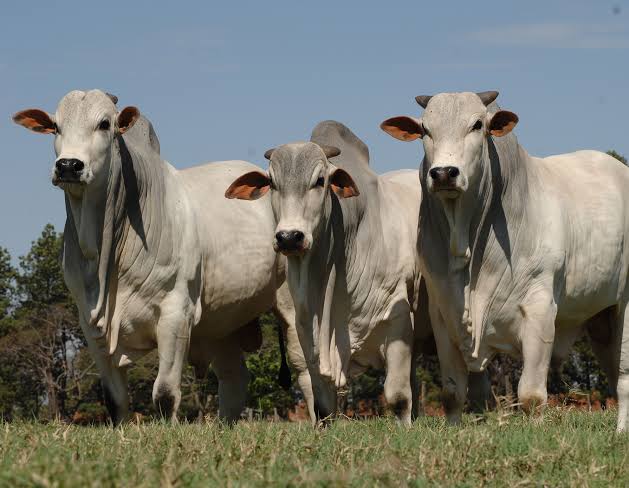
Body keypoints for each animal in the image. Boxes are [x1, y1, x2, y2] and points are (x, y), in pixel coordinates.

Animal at [12, 90, 296, 424]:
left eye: (104, 124)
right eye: (55, 126)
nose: (69, 165)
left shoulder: (176, 312)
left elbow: (164, 393)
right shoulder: (89, 323)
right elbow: (115, 400)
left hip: (292, 303)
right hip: (223, 320)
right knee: (234, 379)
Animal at [380, 91, 628, 430]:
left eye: (477, 125)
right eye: (424, 129)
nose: (444, 173)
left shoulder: (539, 310)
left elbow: (531, 395)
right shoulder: (443, 315)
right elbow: (452, 393)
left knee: (624, 379)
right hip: (601, 318)